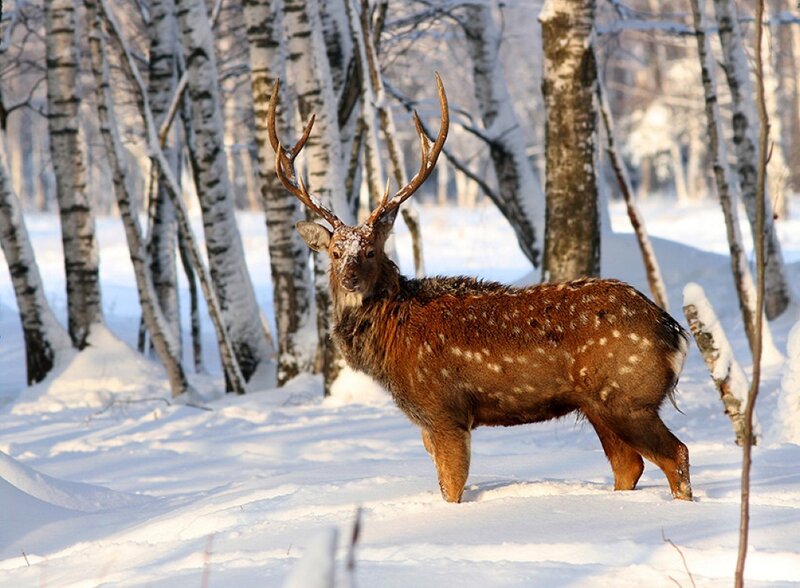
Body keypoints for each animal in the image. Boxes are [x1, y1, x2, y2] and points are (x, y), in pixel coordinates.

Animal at [267, 74, 692, 503]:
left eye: (371, 250)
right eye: (336, 252)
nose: (350, 278)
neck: (392, 337)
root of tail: (674, 332)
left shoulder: (444, 410)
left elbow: (452, 489)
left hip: (628, 397)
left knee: (676, 454)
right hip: (597, 405)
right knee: (629, 465)